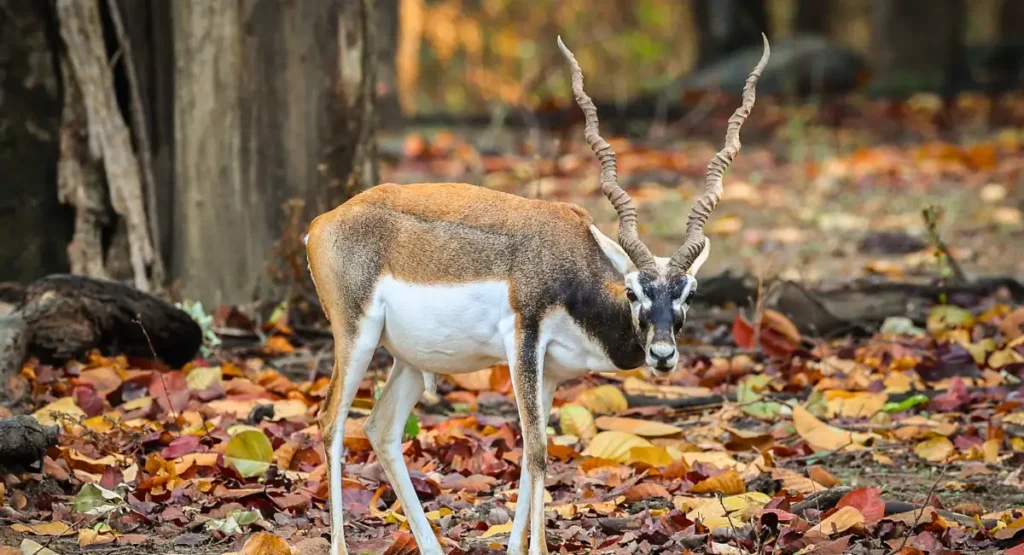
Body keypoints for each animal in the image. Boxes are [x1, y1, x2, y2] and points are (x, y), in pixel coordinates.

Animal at [305, 34, 770, 555]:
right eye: (633, 292)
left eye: (689, 291)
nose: (663, 354)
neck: (575, 278)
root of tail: (322, 223)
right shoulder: (523, 343)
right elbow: (538, 451)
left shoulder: (551, 373)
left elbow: (533, 457)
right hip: (356, 337)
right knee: (331, 422)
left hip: (409, 358)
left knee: (380, 428)